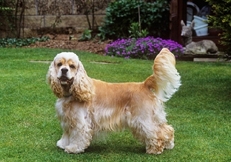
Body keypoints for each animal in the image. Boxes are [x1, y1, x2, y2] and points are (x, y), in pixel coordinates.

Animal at [46, 47, 180, 154]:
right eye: (59, 64)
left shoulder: (80, 121)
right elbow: (67, 134)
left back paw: (155, 150)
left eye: (72, 66)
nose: (64, 70)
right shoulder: (67, 119)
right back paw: (169, 145)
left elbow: (78, 136)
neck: (71, 92)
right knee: (167, 129)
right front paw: (63, 144)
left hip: (143, 119)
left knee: (156, 133)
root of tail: (143, 85)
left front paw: (73, 148)